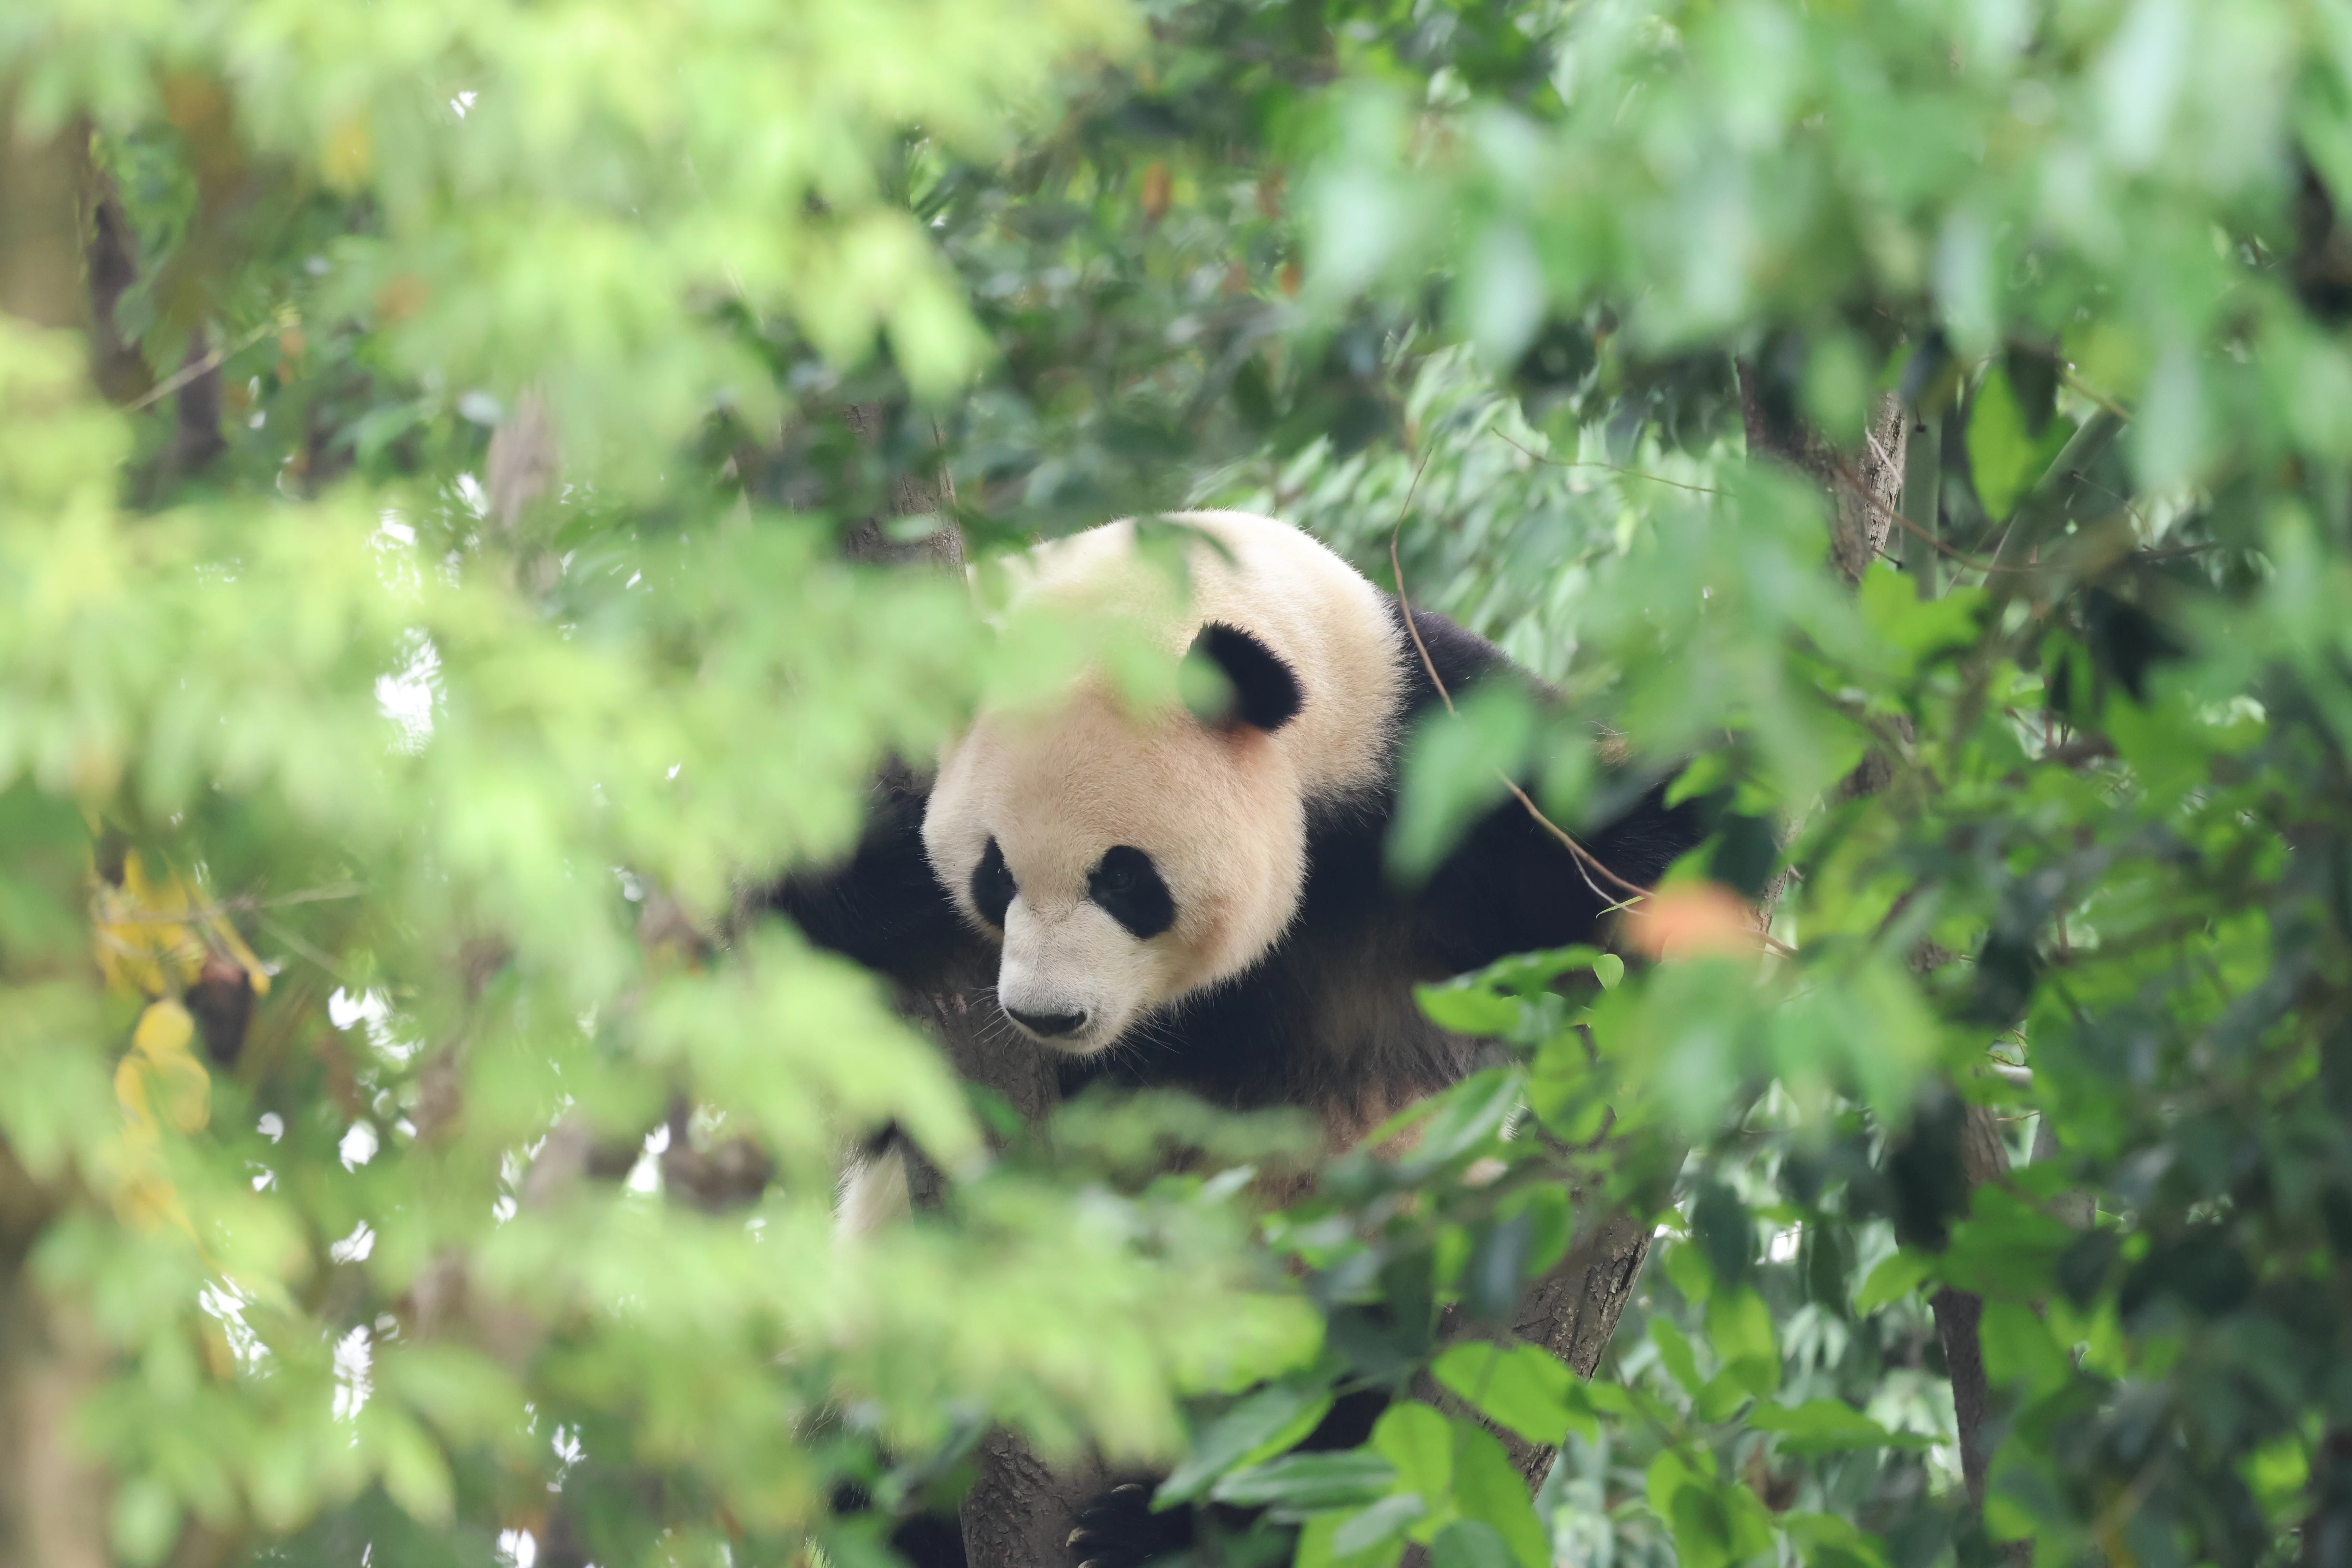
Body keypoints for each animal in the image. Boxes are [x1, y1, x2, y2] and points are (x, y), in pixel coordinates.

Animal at [778, 509, 1699, 1567]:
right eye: (993, 874)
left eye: (1124, 879)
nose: (1049, 1017)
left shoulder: (1448, 765)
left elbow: (1632, 853)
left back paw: (1158, 1526)